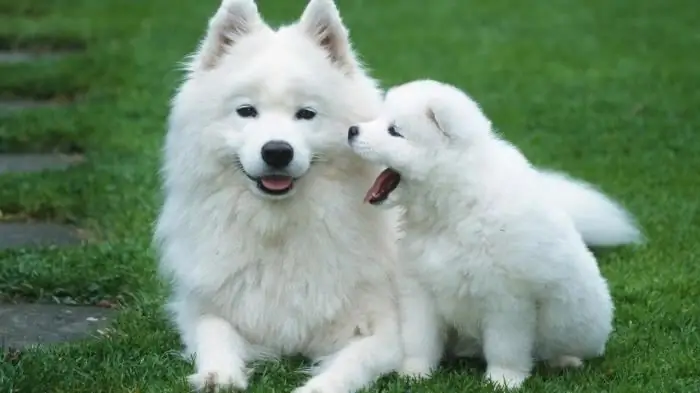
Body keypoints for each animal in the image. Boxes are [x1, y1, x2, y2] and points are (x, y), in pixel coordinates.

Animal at [348, 79, 644, 386]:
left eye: (394, 131)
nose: (352, 130)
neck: (453, 206)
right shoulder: (420, 287)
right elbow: (419, 338)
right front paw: (415, 374)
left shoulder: (506, 298)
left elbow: (505, 346)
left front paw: (503, 380)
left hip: (579, 318)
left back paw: (565, 361)